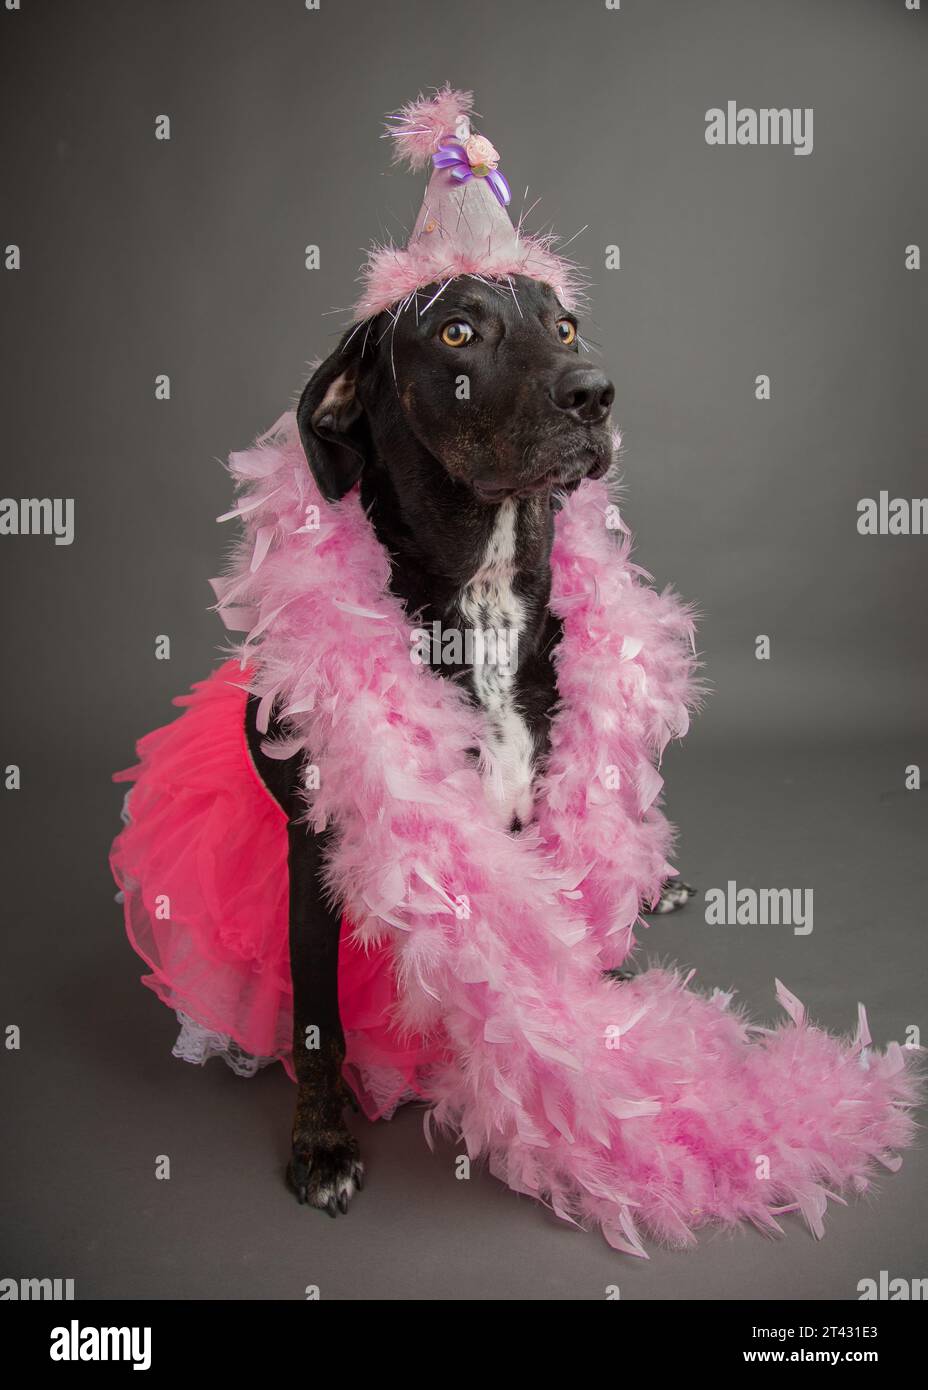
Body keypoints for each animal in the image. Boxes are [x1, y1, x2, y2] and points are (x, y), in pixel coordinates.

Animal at [243, 273, 691, 1217]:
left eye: (564, 324)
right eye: (456, 331)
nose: (594, 393)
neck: (484, 604)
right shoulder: (316, 854)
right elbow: (319, 1022)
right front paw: (322, 1145)